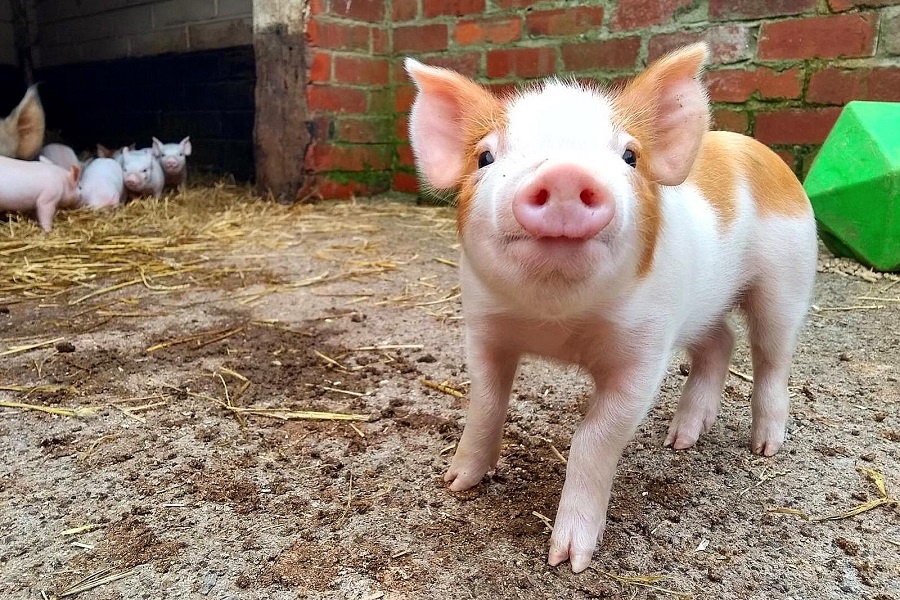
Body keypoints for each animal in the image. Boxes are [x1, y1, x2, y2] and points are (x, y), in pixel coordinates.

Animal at [405, 43, 818, 573]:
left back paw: (764, 448)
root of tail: (756, 149)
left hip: (787, 279)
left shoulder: (643, 355)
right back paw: (681, 438)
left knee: (771, 358)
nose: (564, 173)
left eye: (630, 156)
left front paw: (568, 561)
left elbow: (593, 437)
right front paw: (455, 483)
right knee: (720, 341)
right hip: (703, 307)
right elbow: (486, 402)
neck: (557, 321)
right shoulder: (483, 328)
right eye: (485, 156)